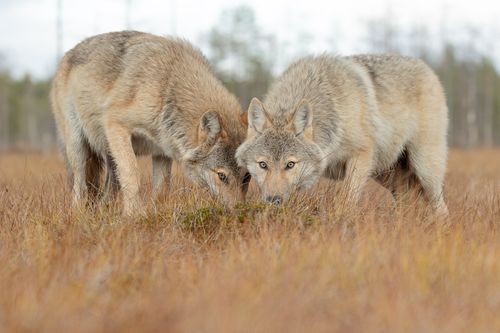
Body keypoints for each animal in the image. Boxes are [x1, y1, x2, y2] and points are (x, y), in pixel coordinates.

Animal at [50, 29, 250, 214]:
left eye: (246, 177)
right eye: (222, 176)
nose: (239, 211)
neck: (167, 88)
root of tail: (67, 54)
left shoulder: (161, 152)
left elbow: (162, 190)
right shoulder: (116, 123)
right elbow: (132, 174)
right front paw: (133, 215)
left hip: (111, 159)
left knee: (105, 194)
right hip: (79, 149)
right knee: (80, 187)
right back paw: (78, 214)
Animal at [236, 53, 452, 214]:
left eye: (290, 164)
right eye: (263, 164)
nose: (274, 200)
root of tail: (426, 66)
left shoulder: (361, 155)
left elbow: (347, 198)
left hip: (424, 169)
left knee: (441, 207)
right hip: (388, 177)